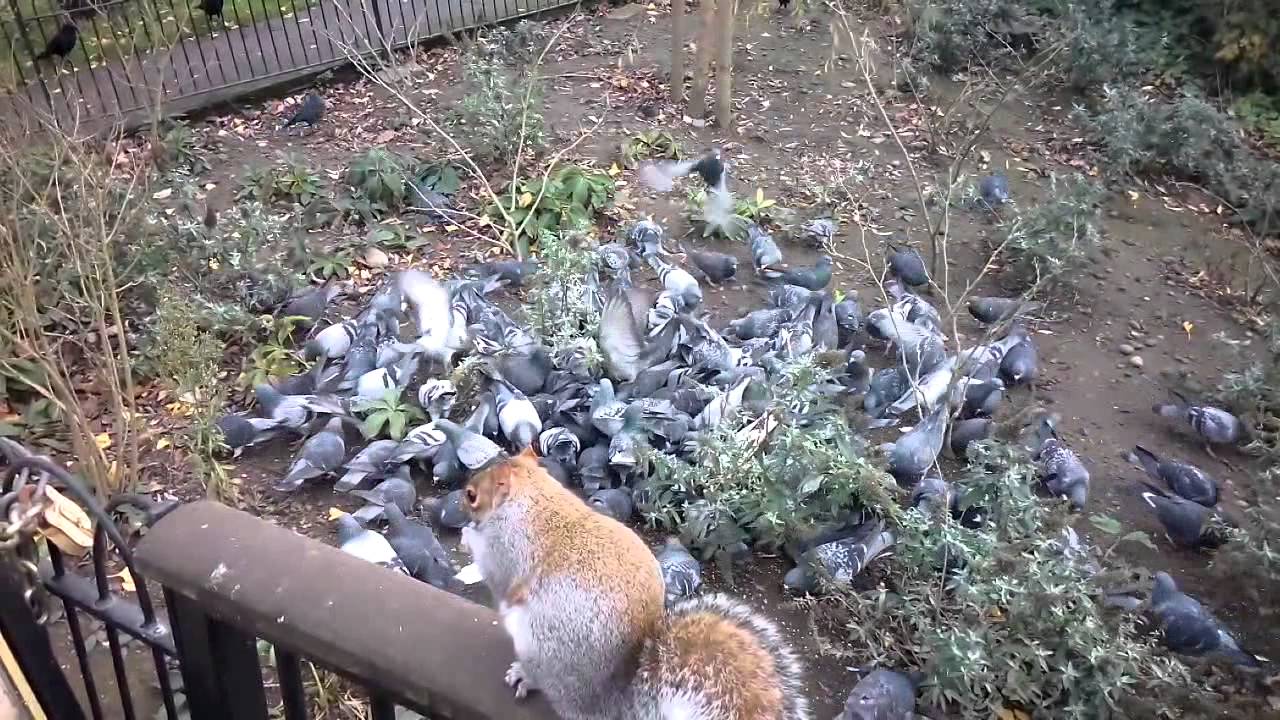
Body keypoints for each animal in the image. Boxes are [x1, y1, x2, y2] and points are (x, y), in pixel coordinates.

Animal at [461, 447, 811, 720]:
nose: (463, 501)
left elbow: (495, 572)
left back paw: (526, 676)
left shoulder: (508, 546)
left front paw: (469, 536)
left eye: (472, 495)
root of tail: (613, 701)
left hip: (538, 645)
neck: (535, 496)